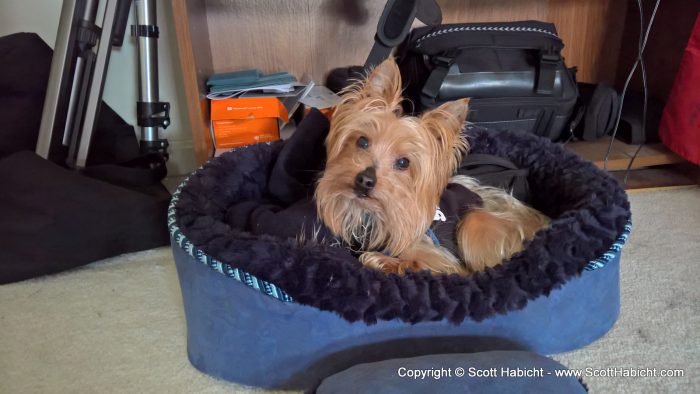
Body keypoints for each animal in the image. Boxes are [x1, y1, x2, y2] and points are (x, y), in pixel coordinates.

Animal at [314, 57, 548, 274]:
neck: (373, 214)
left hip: (476, 221)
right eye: (362, 141)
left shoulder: (442, 259)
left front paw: (385, 261)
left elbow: (411, 263)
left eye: (403, 163)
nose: (365, 180)